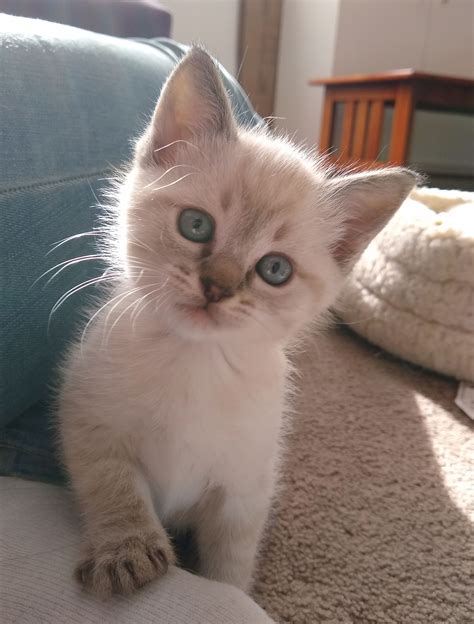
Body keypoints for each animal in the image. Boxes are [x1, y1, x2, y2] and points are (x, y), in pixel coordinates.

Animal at [57, 46, 416, 596]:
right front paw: (127, 551)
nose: (217, 287)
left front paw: (230, 594)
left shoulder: (244, 490)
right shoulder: (91, 424)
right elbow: (114, 490)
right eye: (195, 225)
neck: (195, 362)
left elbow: (229, 567)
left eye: (275, 270)